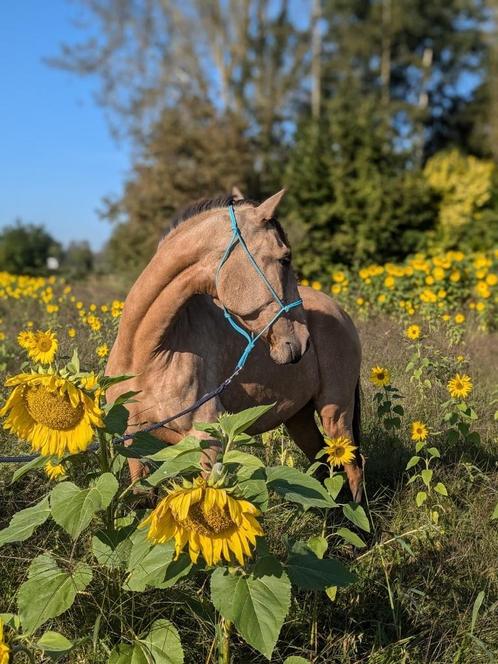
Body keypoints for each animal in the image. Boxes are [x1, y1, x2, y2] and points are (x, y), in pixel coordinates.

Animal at [106, 189, 362, 500]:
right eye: (285, 259)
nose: (303, 342)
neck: (146, 355)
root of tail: (340, 311)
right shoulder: (134, 444)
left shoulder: (207, 445)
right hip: (299, 418)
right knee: (323, 466)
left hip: (336, 412)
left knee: (353, 468)